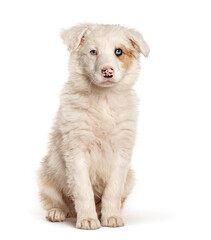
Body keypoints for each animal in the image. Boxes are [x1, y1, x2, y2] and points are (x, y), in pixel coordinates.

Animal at [38, 23, 150, 230]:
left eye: (118, 51)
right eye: (93, 52)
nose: (107, 71)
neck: (103, 99)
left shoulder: (121, 152)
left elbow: (113, 190)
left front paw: (111, 217)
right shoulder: (76, 150)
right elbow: (83, 191)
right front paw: (88, 220)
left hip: (130, 178)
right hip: (47, 173)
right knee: (56, 200)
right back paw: (57, 212)